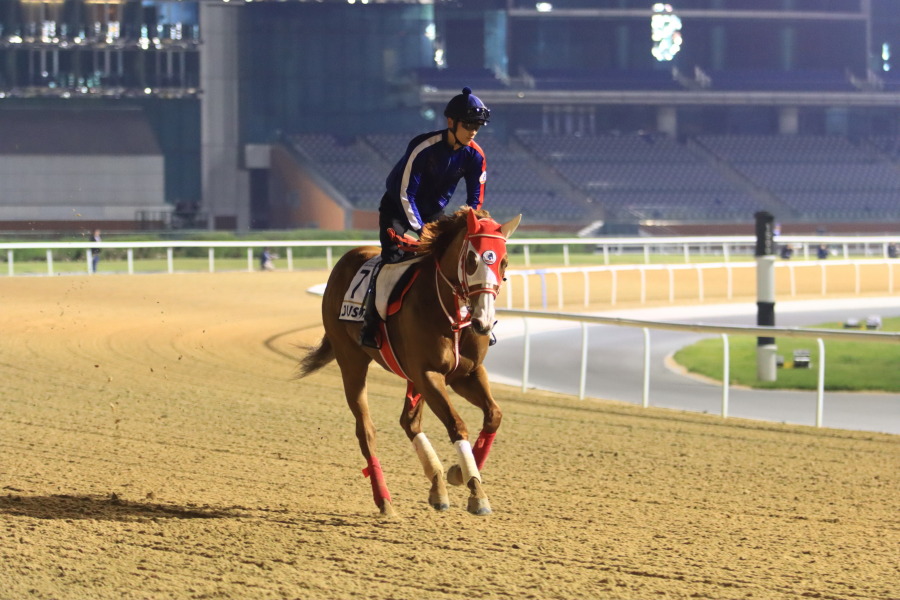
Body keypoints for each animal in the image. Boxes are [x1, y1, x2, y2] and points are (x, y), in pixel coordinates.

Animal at [298, 206, 520, 516]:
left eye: (504, 262)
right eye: (472, 260)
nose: (484, 322)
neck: (451, 312)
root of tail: (346, 258)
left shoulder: (466, 374)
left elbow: (494, 415)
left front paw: (458, 474)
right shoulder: (428, 373)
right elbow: (457, 424)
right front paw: (476, 492)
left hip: (412, 378)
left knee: (409, 422)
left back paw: (437, 485)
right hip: (352, 361)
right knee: (366, 431)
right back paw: (384, 500)